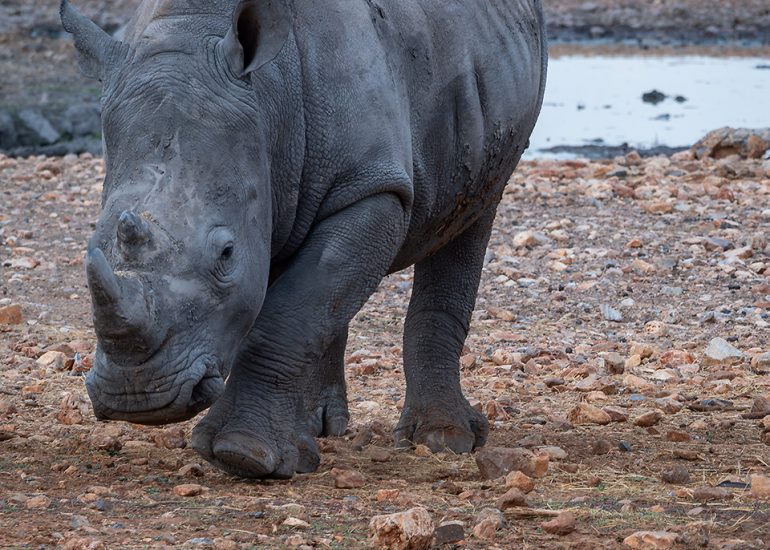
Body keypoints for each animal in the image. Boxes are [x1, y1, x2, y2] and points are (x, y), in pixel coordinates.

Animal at [61, 0, 547, 478]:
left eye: (226, 254)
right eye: (94, 244)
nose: (137, 396)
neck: (267, 97)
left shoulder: (372, 187)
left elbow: (290, 315)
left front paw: (244, 454)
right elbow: (302, 302)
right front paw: (279, 452)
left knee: (471, 214)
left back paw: (443, 440)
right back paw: (321, 428)